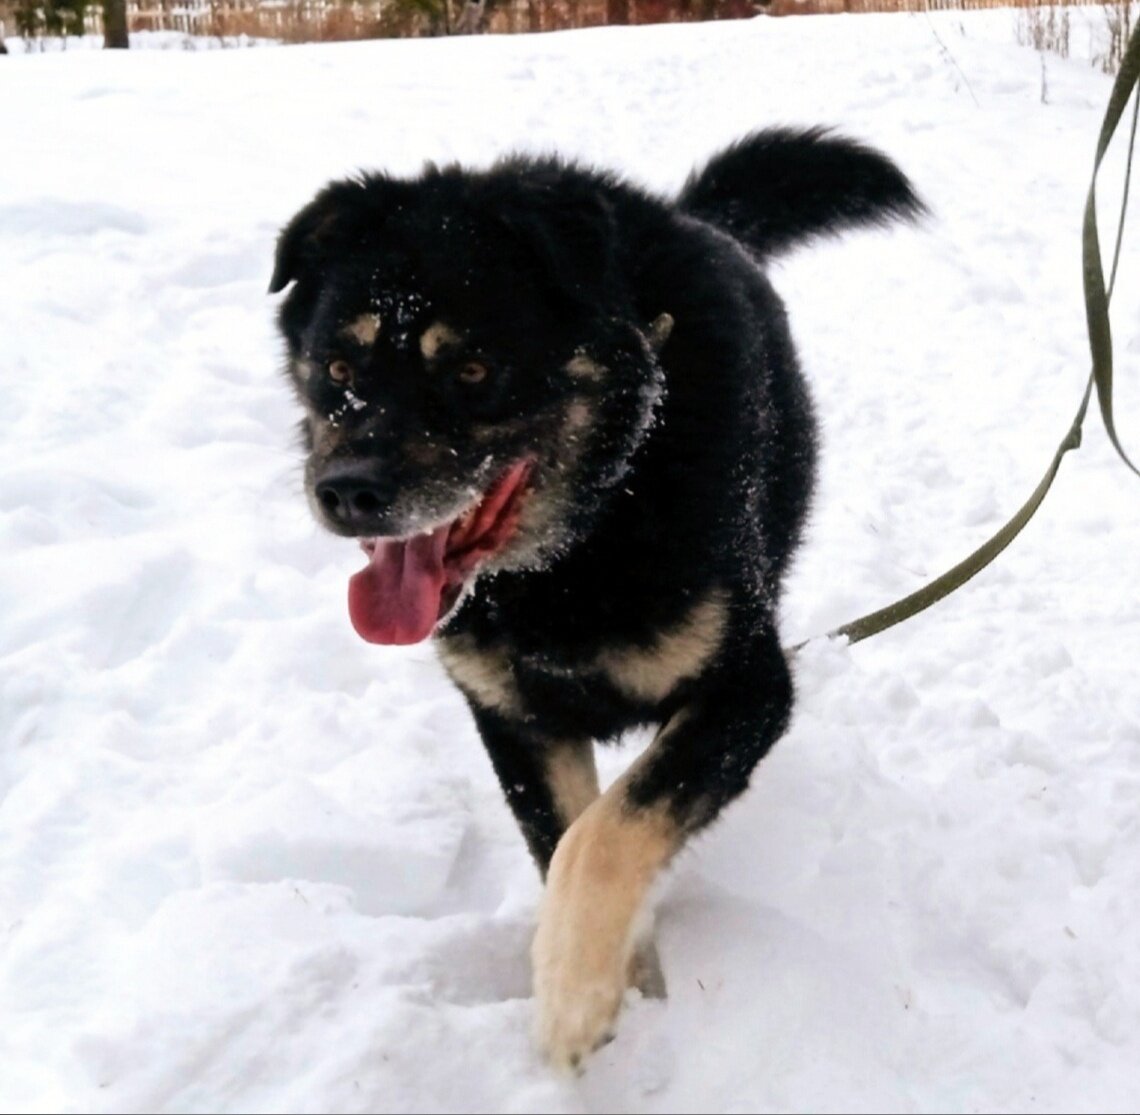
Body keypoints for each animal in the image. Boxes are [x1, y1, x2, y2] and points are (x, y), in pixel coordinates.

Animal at [269, 130, 925, 1067]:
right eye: (337, 366)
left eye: (474, 368)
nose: (348, 491)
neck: (584, 540)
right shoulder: (513, 715)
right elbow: (563, 838)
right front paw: (622, 982)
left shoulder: (750, 687)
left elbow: (604, 837)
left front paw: (573, 1000)